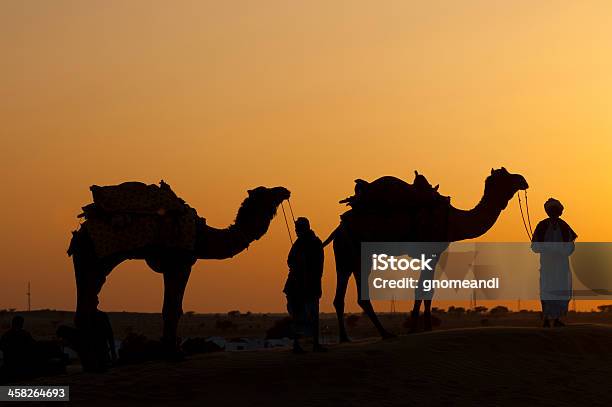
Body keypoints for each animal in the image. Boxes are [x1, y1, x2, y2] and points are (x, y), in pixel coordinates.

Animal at [68, 186, 292, 368]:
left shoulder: (172, 266)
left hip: (88, 261)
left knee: (89, 301)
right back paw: (93, 363)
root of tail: (81, 229)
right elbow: (173, 308)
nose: (285, 190)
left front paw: (171, 351)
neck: (202, 236)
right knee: (88, 300)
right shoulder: (180, 262)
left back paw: (94, 362)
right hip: (96, 258)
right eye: (267, 192)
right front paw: (175, 353)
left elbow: (170, 307)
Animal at [322, 167, 528, 342]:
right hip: (358, 253)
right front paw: (416, 328)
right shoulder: (431, 252)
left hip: (346, 257)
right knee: (358, 294)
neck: (453, 221)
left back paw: (346, 338)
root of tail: (339, 228)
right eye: (505, 176)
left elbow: (427, 290)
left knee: (341, 296)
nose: (523, 179)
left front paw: (425, 327)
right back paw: (385, 334)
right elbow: (423, 289)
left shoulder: (433, 254)